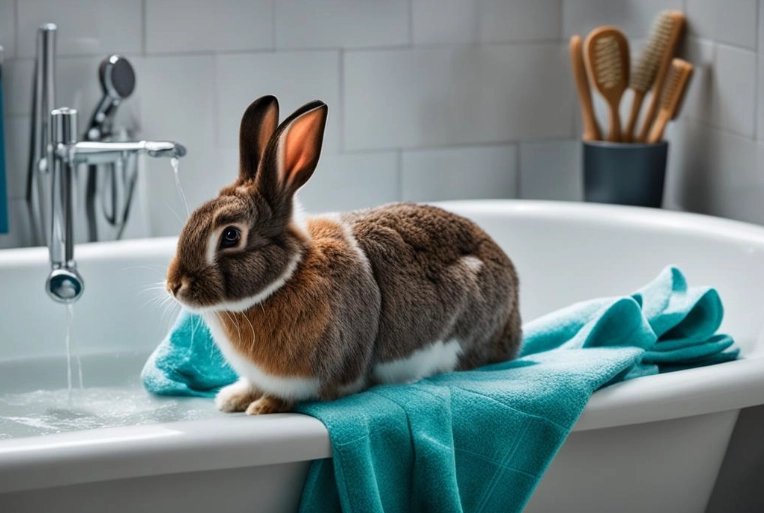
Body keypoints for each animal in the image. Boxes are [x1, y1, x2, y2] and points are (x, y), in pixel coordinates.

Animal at [166, 95, 521, 415]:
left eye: (230, 235)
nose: (174, 286)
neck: (288, 277)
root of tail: (514, 320)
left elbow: (298, 394)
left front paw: (263, 406)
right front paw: (233, 399)